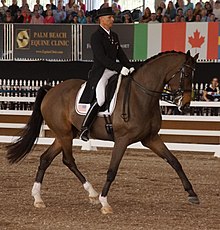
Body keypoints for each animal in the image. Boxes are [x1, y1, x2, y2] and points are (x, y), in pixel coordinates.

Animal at [6, 50, 199, 214]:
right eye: (185, 74)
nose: (185, 105)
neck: (141, 95)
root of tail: (51, 90)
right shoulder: (122, 139)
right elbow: (112, 170)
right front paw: (105, 202)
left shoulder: (151, 138)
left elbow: (174, 162)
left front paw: (192, 194)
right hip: (64, 135)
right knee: (68, 160)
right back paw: (92, 194)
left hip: (64, 135)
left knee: (45, 158)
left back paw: (38, 198)